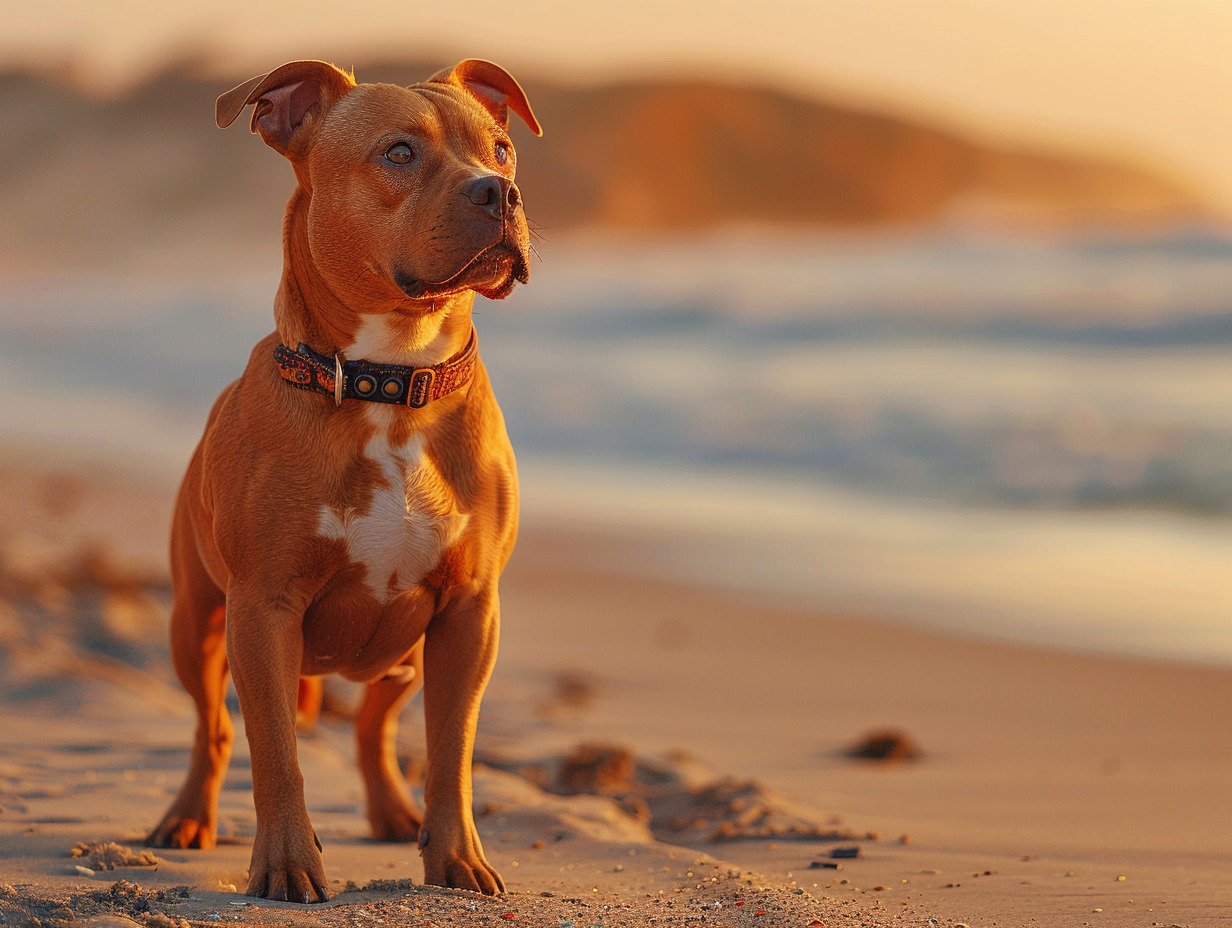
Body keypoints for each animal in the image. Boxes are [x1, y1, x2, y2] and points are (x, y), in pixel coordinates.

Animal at [144, 57, 539, 897]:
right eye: (398, 153)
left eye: (500, 149)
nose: (500, 192)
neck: (389, 378)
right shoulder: (263, 610)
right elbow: (275, 753)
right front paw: (288, 866)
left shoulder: (469, 614)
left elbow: (452, 753)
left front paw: (457, 858)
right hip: (195, 625)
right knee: (212, 728)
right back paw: (187, 816)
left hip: (404, 656)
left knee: (371, 729)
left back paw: (392, 813)